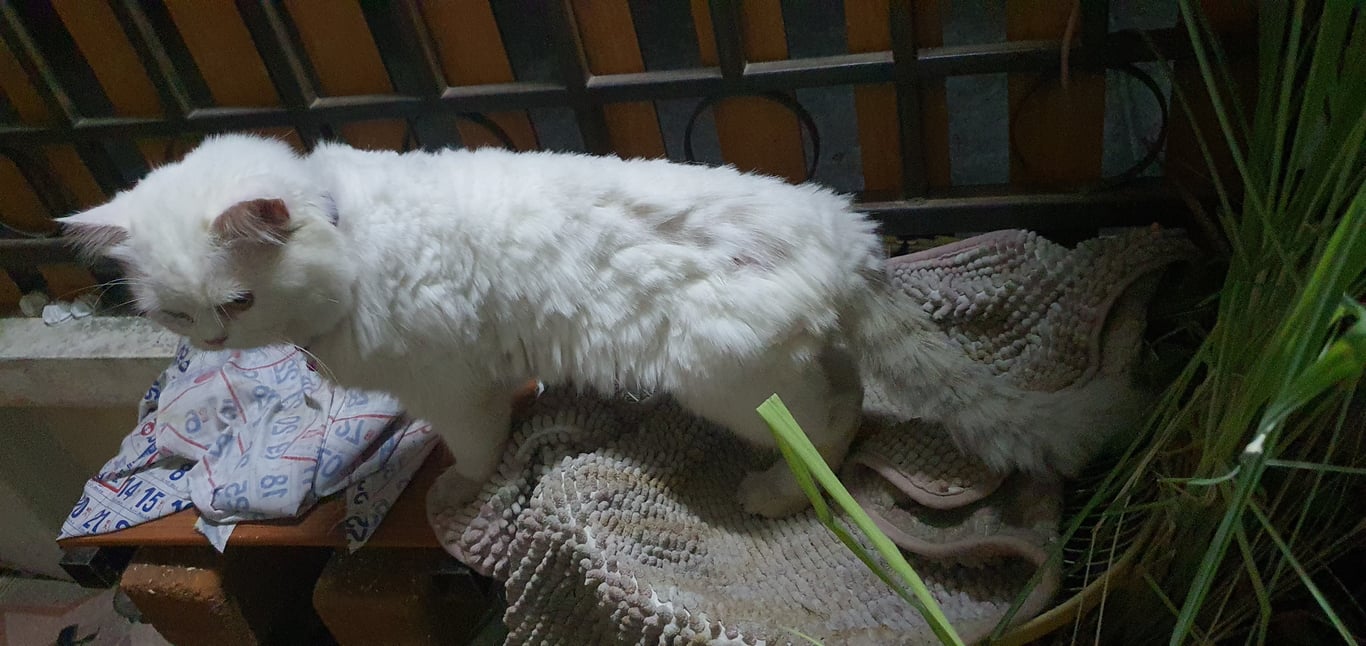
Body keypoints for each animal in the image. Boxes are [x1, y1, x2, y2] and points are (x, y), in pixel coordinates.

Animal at [61, 134, 1144, 518]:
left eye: (235, 302)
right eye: (174, 313)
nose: (212, 342)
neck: (350, 235)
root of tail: (845, 230)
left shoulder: (456, 386)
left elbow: (473, 445)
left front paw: (459, 487)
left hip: (727, 378)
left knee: (838, 425)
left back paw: (776, 494)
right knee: (853, 398)